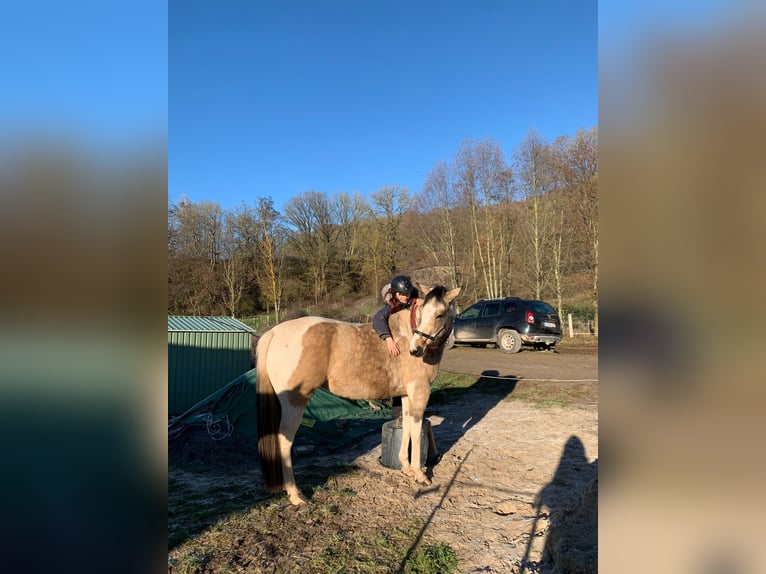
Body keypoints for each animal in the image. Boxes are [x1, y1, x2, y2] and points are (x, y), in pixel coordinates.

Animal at [256, 283, 461, 505]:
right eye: (423, 311)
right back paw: (295, 494)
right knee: (285, 443)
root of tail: (274, 332)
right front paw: (419, 473)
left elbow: (406, 427)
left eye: (439, 314)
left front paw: (406, 468)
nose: (416, 349)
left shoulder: (407, 395)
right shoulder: (420, 392)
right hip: (294, 403)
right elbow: (415, 431)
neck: (406, 334)